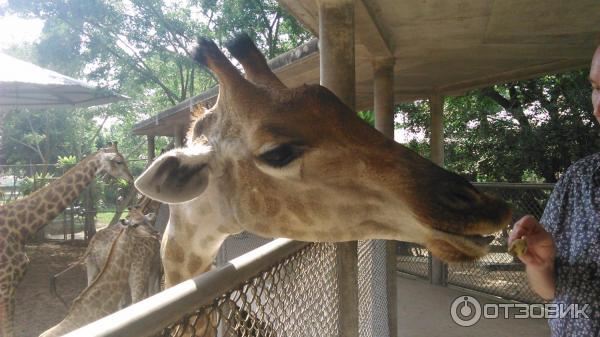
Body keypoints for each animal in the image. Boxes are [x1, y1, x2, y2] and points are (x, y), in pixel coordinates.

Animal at [0, 144, 132, 336]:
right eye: (118, 161)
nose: (131, 177)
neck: (20, 228)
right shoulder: (5, 285)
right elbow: (7, 329)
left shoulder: (11, 285)